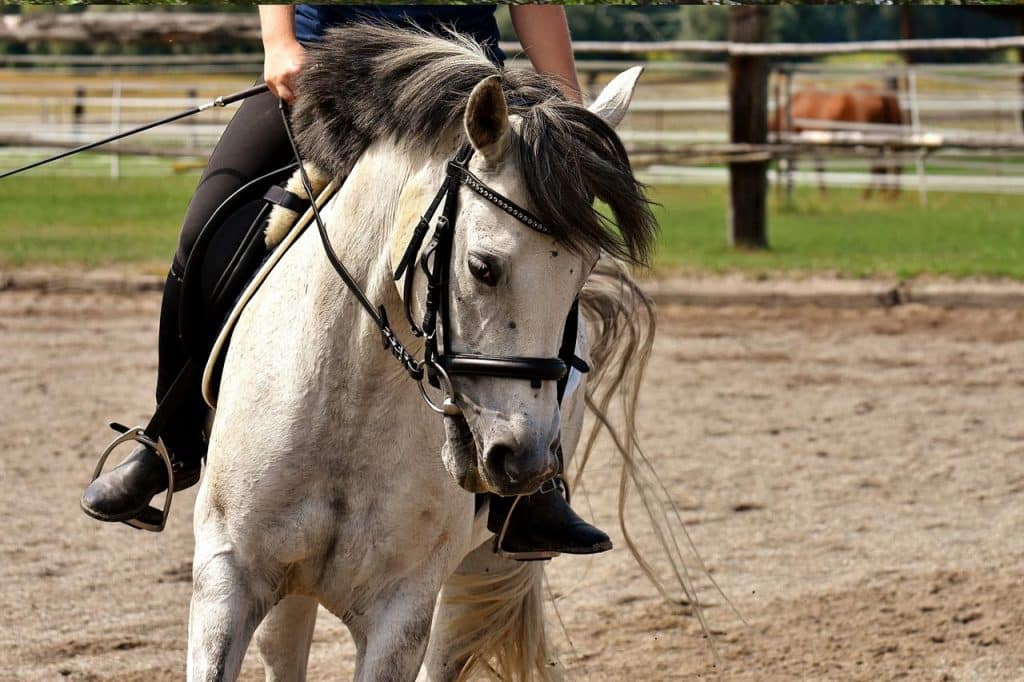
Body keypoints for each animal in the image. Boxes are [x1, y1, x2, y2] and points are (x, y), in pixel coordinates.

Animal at [770, 84, 904, 198]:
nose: (777, 194)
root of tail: (885, 96)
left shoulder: (813, 144)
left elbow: (817, 169)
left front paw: (823, 195)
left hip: (870, 143)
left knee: (877, 167)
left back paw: (868, 195)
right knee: (886, 167)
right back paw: (887, 195)